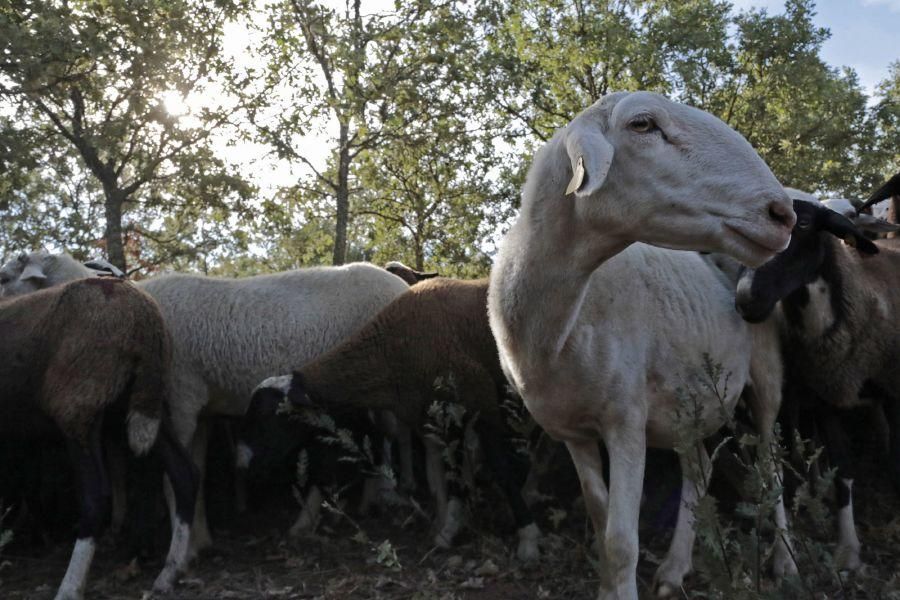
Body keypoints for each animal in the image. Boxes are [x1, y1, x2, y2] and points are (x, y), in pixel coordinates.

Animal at [0, 251, 412, 556]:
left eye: (5, 278)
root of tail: (401, 284)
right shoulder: (197, 409)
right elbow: (193, 472)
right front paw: (200, 538)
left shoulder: (178, 400)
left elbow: (176, 480)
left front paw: (187, 548)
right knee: (376, 438)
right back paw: (364, 502)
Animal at [0, 278, 196, 600]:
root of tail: (144, 316)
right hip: (141, 401)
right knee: (184, 473)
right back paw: (169, 572)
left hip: (79, 403)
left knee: (95, 495)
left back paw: (70, 587)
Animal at [248, 278, 540, 560]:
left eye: (278, 416)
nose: (252, 465)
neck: (392, 347)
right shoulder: (438, 415)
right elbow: (452, 470)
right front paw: (449, 528)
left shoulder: (480, 399)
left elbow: (501, 470)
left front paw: (528, 536)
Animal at [486, 90, 796, 600]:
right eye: (643, 124)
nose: (782, 214)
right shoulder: (573, 431)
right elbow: (600, 521)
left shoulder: (626, 419)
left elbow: (621, 541)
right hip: (687, 404)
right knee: (698, 470)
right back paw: (675, 568)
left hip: (767, 377)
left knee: (771, 468)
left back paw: (785, 563)